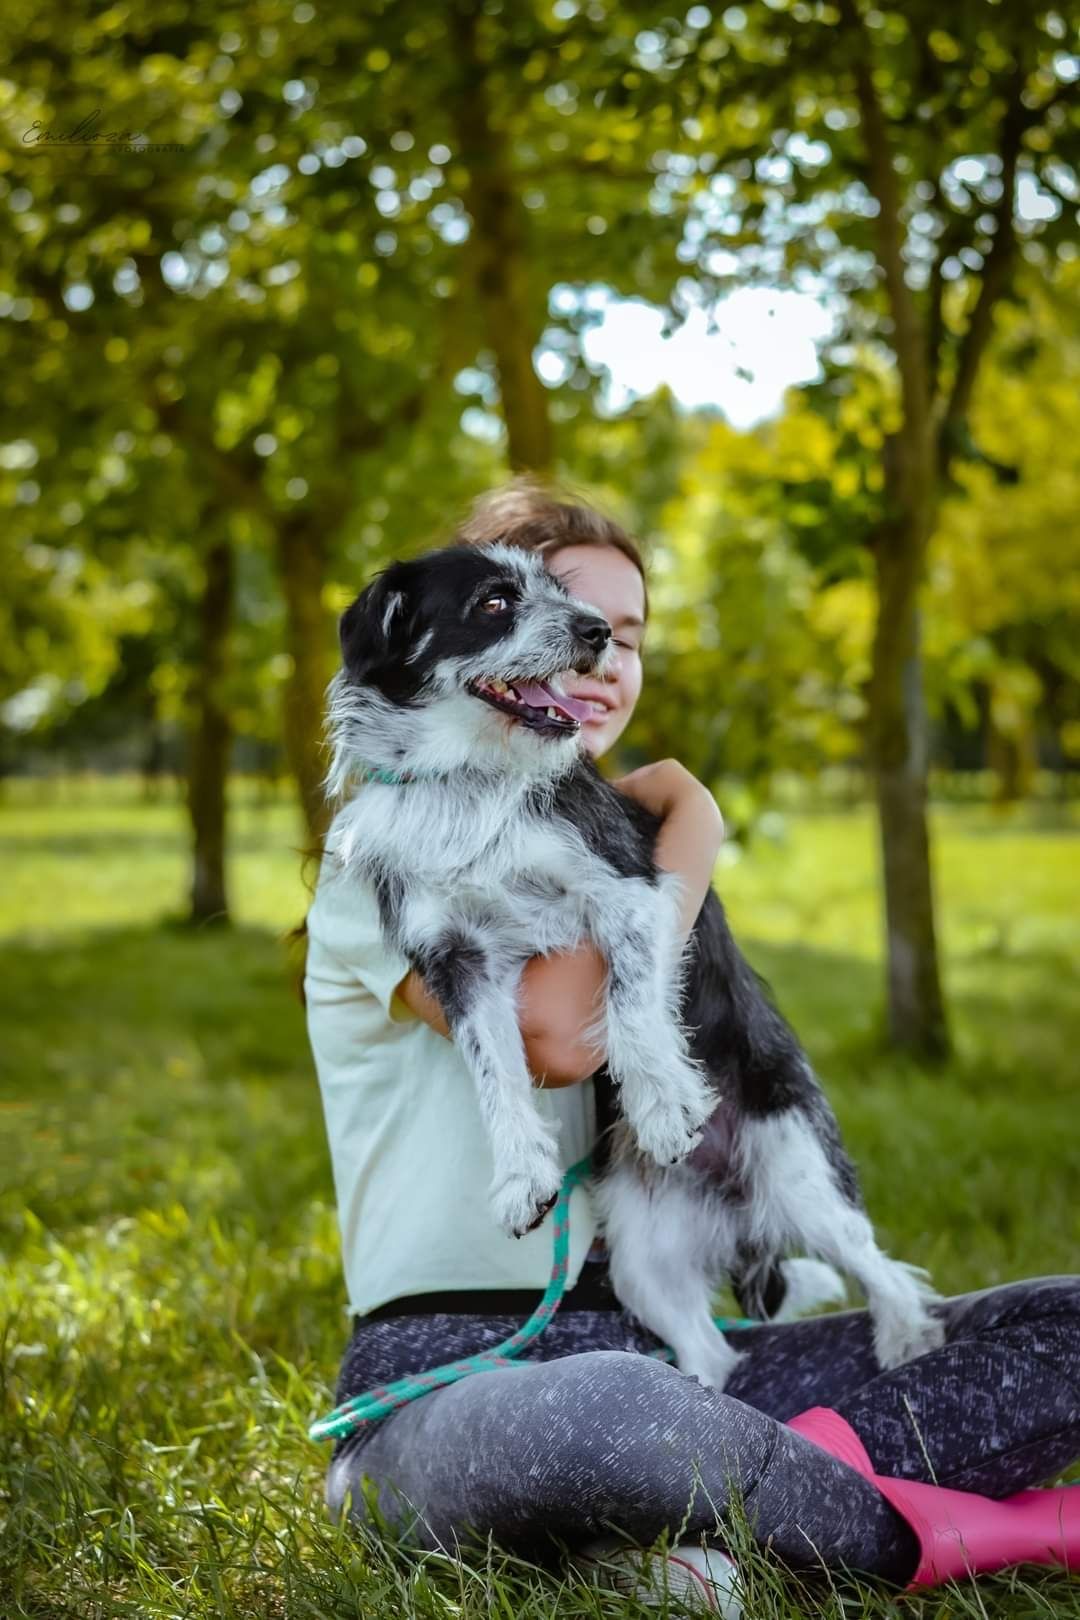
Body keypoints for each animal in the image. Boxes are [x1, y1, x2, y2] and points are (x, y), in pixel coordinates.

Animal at [325, 537, 939, 1386]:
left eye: (562, 590)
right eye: (494, 602)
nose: (596, 633)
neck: (469, 782)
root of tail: (729, 1200)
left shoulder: (630, 893)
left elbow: (625, 1000)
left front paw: (662, 1105)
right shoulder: (457, 962)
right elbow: (494, 1072)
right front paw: (521, 1177)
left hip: (800, 1176)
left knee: (884, 1267)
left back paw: (906, 1338)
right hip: (642, 1261)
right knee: (711, 1348)